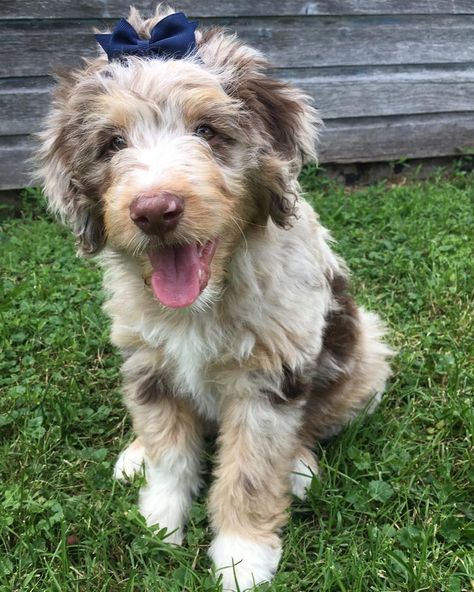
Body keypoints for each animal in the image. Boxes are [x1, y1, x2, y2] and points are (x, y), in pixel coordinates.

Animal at [37, 5, 392, 592]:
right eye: (113, 144)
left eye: (207, 131)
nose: (154, 210)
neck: (205, 299)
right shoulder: (148, 362)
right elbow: (168, 450)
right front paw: (159, 521)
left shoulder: (268, 379)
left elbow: (250, 470)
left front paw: (242, 558)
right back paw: (135, 455)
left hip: (362, 357)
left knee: (315, 420)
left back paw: (299, 466)